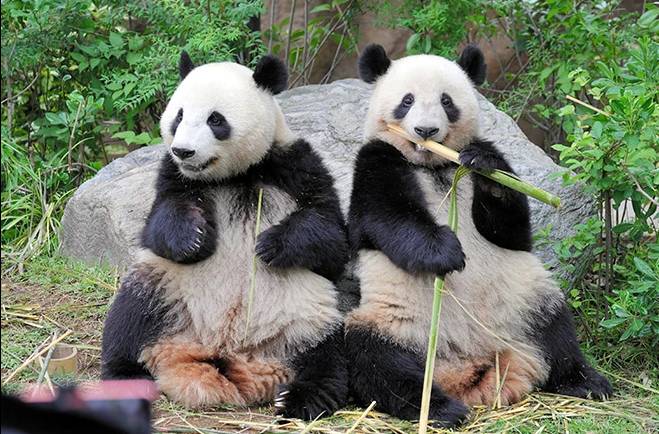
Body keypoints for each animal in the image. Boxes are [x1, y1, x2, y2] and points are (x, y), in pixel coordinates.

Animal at [101, 52, 349, 420]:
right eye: (179, 115)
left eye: (215, 120)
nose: (184, 151)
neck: (233, 176)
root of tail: (224, 356)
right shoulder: (173, 176)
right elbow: (158, 224)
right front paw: (194, 239)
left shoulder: (295, 165)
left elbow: (331, 237)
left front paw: (271, 245)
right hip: (166, 288)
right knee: (128, 319)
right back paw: (126, 379)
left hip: (306, 314)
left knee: (329, 353)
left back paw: (301, 397)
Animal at [344, 44, 612, 427]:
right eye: (407, 100)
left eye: (446, 101)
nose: (426, 130)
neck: (436, 165)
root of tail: (469, 366)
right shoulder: (376, 159)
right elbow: (386, 217)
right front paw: (446, 252)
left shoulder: (480, 159)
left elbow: (513, 228)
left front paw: (485, 168)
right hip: (393, 320)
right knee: (377, 360)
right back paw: (440, 409)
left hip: (523, 300)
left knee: (556, 330)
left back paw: (585, 381)